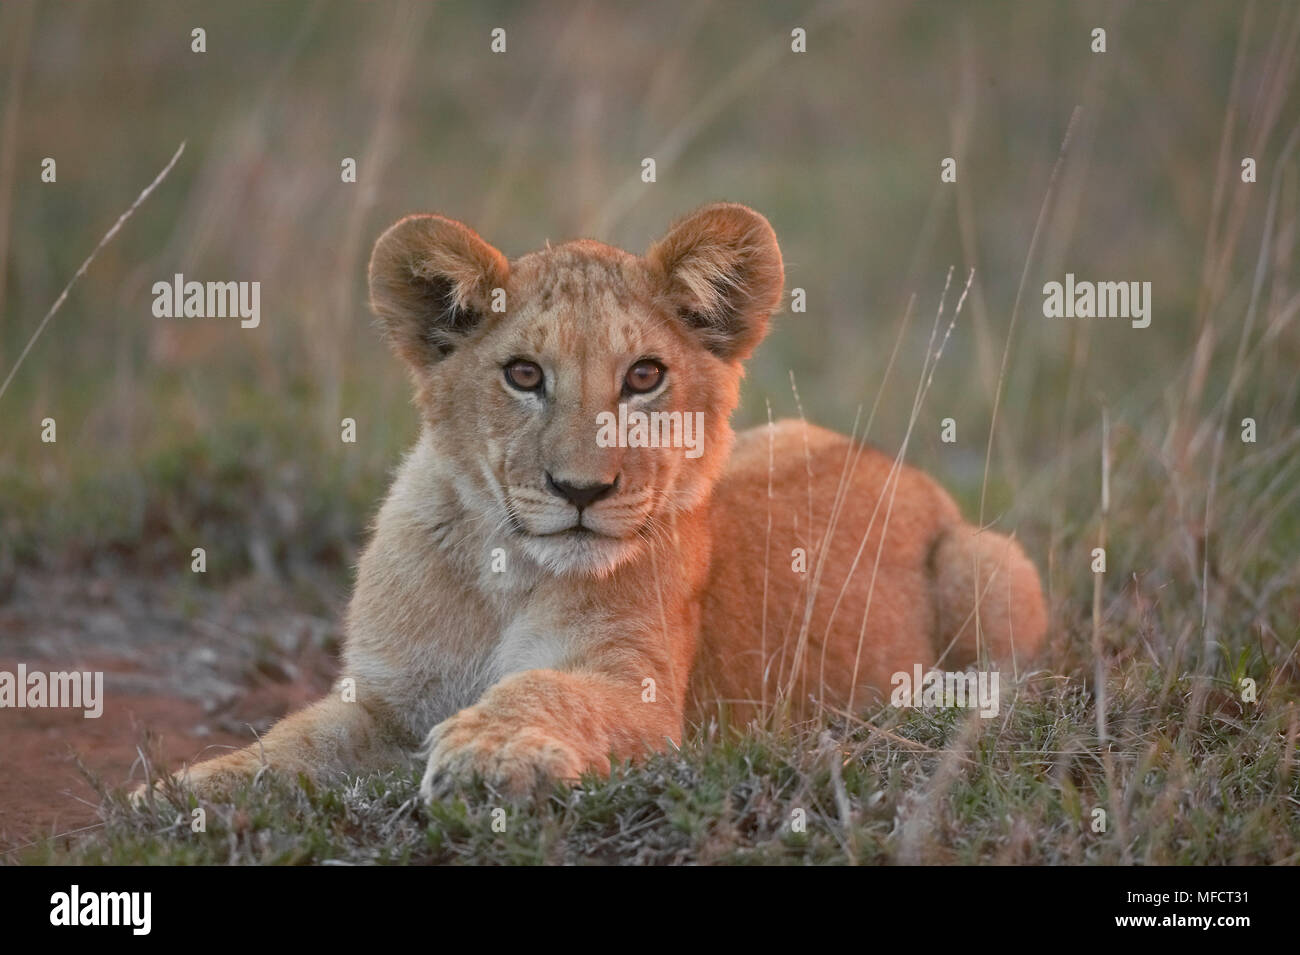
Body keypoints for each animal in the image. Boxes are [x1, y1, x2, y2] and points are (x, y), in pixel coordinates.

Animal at [144, 202, 1046, 802]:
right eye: (523, 374)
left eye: (644, 375)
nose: (581, 489)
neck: (504, 573)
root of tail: (898, 467)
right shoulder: (381, 695)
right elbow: (293, 736)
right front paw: (189, 786)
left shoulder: (641, 691)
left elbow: (548, 688)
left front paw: (488, 748)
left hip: (991, 566)